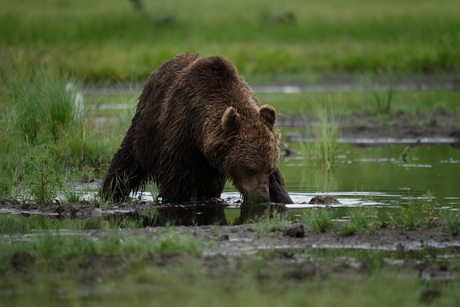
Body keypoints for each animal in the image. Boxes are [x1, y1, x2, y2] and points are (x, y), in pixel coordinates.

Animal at [102, 54, 292, 206]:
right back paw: (109, 193)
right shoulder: (182, 131)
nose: (262, 197)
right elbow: (176, 181)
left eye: (268, 168)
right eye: (249, 169)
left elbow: (277, 182)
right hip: (145, 130)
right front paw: (175, 199)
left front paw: (284, 198)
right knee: (125, 163)